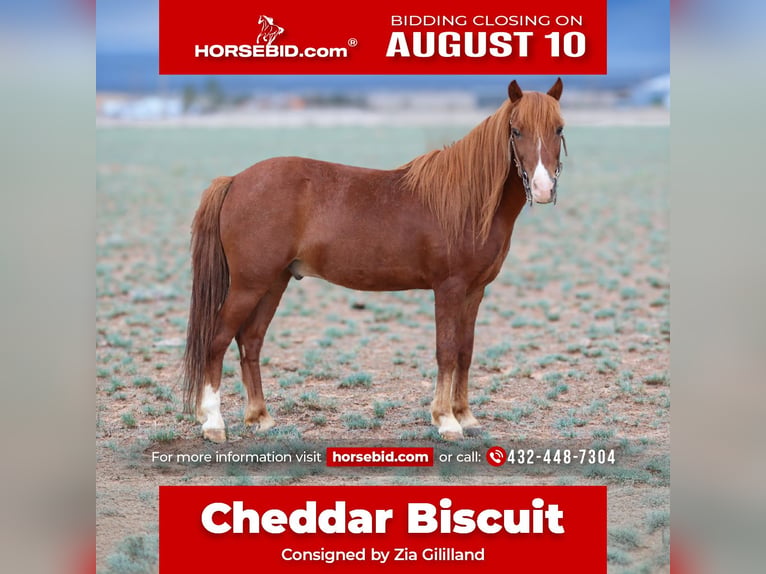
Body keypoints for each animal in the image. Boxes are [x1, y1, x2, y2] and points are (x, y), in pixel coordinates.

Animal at [183, 78, 567, 443]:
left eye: (559, 128)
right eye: (516, 130)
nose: (543, 188)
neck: (467, 202)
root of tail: (235, 181)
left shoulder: (475, 291)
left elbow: (465, 351)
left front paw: (467, 417)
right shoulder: (449, 289)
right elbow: (445, 351)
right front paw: (446, 421)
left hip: (274, 282)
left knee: (250, 340)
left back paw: (260, 418)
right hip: (249, 284)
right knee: (217, 339)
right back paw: (214, 423)